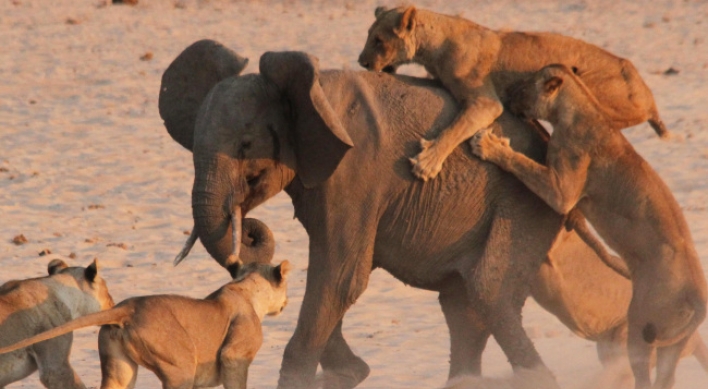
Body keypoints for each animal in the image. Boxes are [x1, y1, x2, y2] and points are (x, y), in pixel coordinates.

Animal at [360, 5, 668, 182]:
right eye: (369, 36)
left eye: (378, 40)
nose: (362, 63)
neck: (432, 46)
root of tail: (649, 97)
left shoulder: (485, 102)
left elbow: (455, 128)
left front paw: (427, 163)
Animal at [470, 63, 708, 388]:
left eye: (524, 85)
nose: (507, 96)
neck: (581, 107)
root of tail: (699, 294)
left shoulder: (562, 190)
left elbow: (523, 164)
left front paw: (490, 145)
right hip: (671, 342)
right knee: (665, 379)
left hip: (640, 325)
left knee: (642, 374)